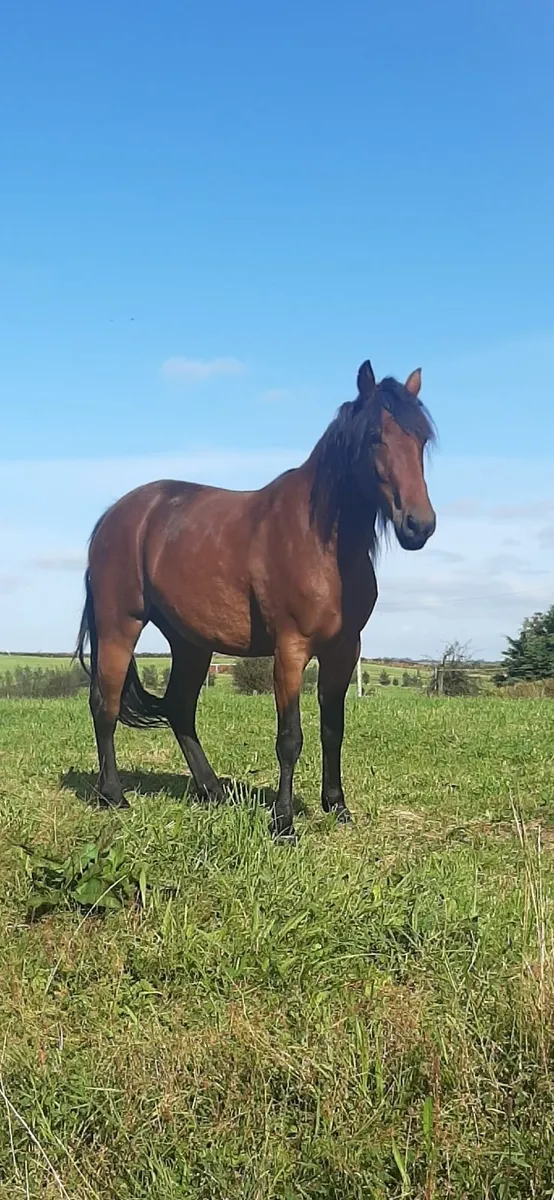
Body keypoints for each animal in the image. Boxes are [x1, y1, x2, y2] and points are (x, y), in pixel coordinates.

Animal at [76, 358, 436, 841]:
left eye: (421, 438)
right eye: (375, 435)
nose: (419, 524)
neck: (321, 543)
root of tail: (115, 516)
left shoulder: (344, 650)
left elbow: (333, 729)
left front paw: (337, 807)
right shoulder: (290, 649)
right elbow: (290, 737)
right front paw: (283, 821)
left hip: (191, 642)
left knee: (179, 709)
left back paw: (212, 791)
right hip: (120, 625)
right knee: (106, 706)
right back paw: (113, 795)